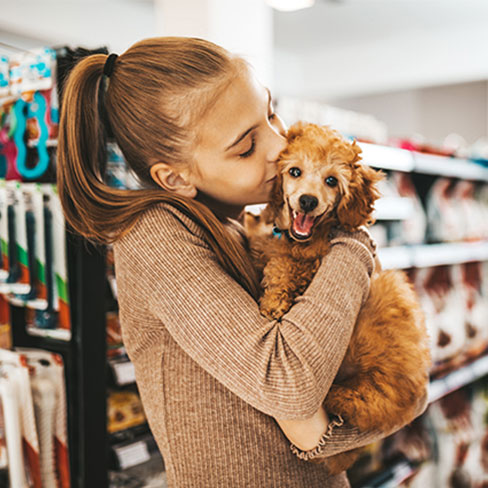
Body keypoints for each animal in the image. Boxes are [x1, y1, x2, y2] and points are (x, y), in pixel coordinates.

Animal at [246, 123, 428, 476]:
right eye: (294, 172)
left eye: (331, 180)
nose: (307, 201)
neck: (299, 238)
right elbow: (267, 248)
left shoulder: (313, 262)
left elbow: (286, 264)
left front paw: (274, 301)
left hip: (390, 293)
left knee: (373, 401)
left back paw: (338, 395)